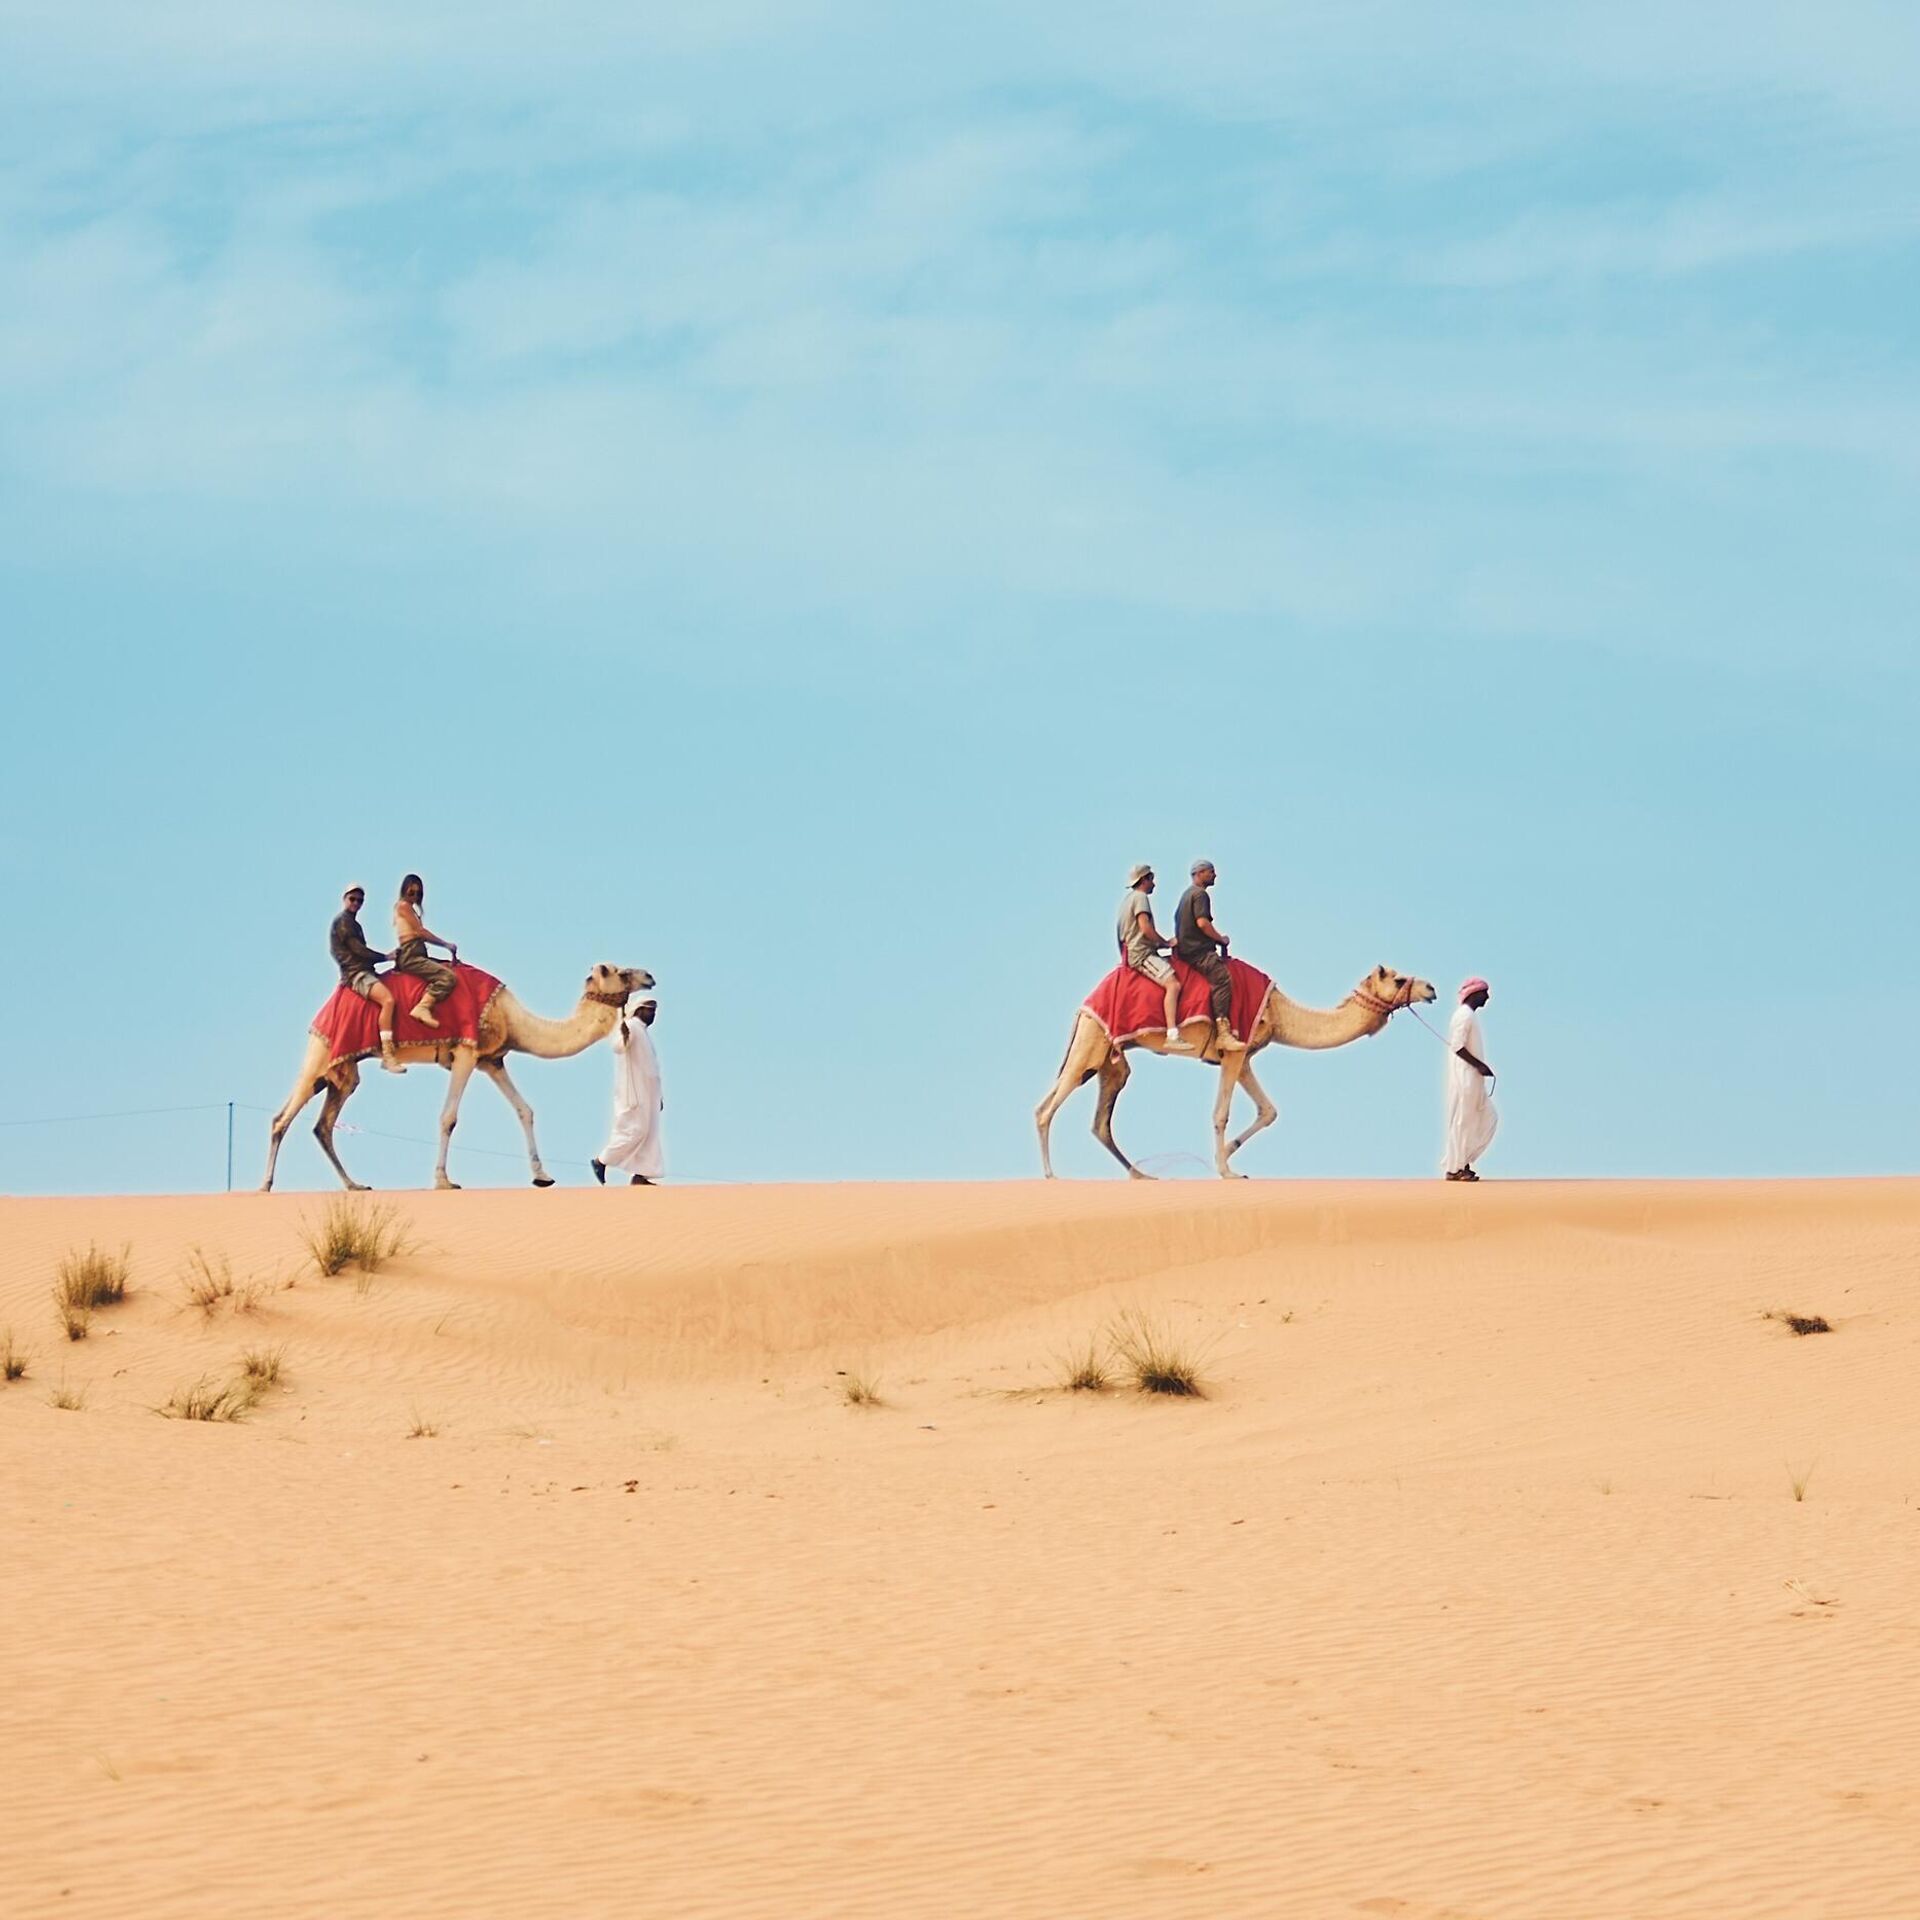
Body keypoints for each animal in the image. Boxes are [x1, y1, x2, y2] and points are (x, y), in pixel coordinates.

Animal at [259, 967, 656, 1190]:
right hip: (323, 1052)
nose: (650, 976)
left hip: (340, 1071)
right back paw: (265, 1186)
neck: (511, 1018)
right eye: (620, 971)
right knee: (282, 1118)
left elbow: (525, 1110)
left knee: (321, 1124)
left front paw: (542, 1176)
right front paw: (443, 1181)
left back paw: (355, 1186)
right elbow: (448, 1117)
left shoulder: (492, 1060)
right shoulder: (465, 1053)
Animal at [1044, 967, 1436, 1175]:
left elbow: (1269, 1110)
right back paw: (1050, 1175)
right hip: (1091, 1044)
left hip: (1109, 1059)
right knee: (1046, 1107)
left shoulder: (1243, 1056)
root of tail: (1083, 1005)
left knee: (1099, 1120)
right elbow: (1221, 1113)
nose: (1430, 988)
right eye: (1397, 979)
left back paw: (1142, 1176)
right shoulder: (1233, 1050)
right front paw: (1226, 1172)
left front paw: (1229, 1154)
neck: (1279, 1012)